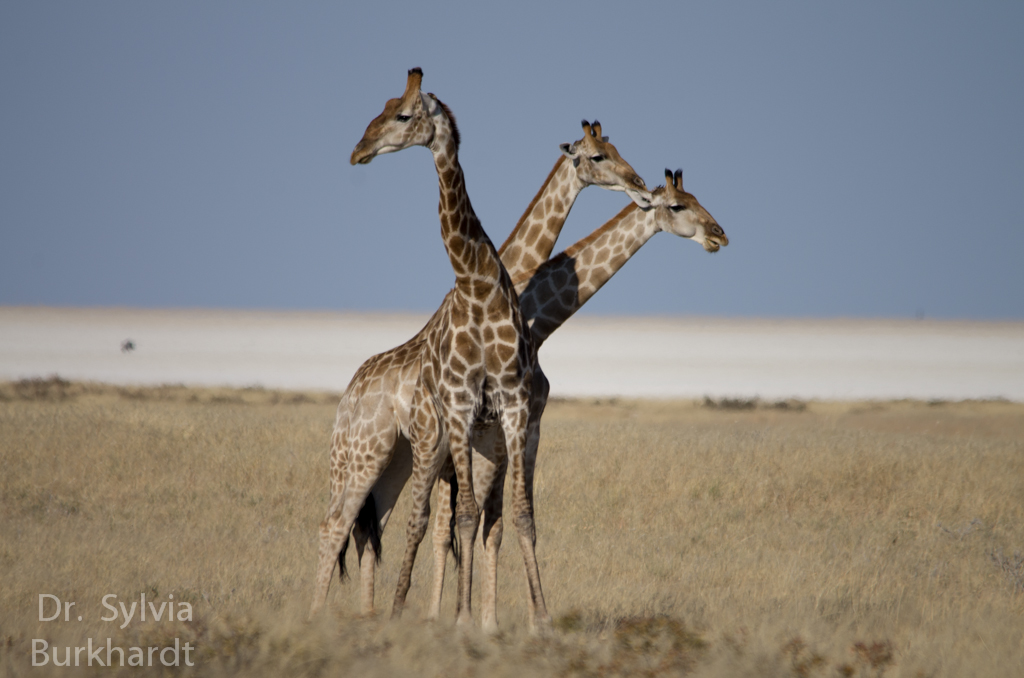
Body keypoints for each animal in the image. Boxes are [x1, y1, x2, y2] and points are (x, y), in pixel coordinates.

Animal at [307, 66, 540, 630]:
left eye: (403, 114)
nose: (358, 151)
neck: (477, 286)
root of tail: (348, 393)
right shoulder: (458, 406)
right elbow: (466, 516)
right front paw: (460, 619)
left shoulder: (513, 405)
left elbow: (518, 514)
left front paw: (539, 618)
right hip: (367, 455)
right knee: (337, 523)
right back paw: (323, 614)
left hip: (411, 455)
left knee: (375, 528)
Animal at [425, 168, 729, 626]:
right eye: (678, 205)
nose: (719, 235)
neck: (537, 318)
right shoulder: (524, 421)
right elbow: (509, 517)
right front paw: (530, 619)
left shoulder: (509, 430)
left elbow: (499, 522)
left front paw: (493, 622)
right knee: (437, 521)